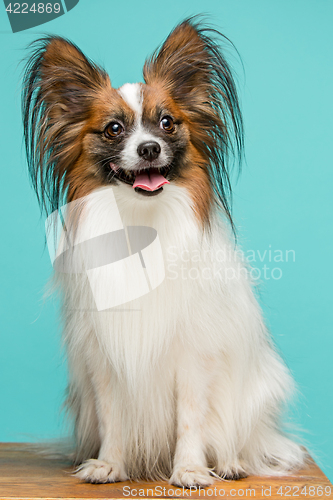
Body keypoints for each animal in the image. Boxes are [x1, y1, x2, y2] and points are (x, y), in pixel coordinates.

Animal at [22, 18, 304, 484]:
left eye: (168, 123)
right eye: (114, 129)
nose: (149, 148)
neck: (143, 221)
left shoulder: (193, 356)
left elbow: (191, 417)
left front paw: (189, 469)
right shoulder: (106, 358)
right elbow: (113, 416)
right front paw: (110, 464)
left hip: (254, 396)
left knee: (242, 438)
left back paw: (230, 463)